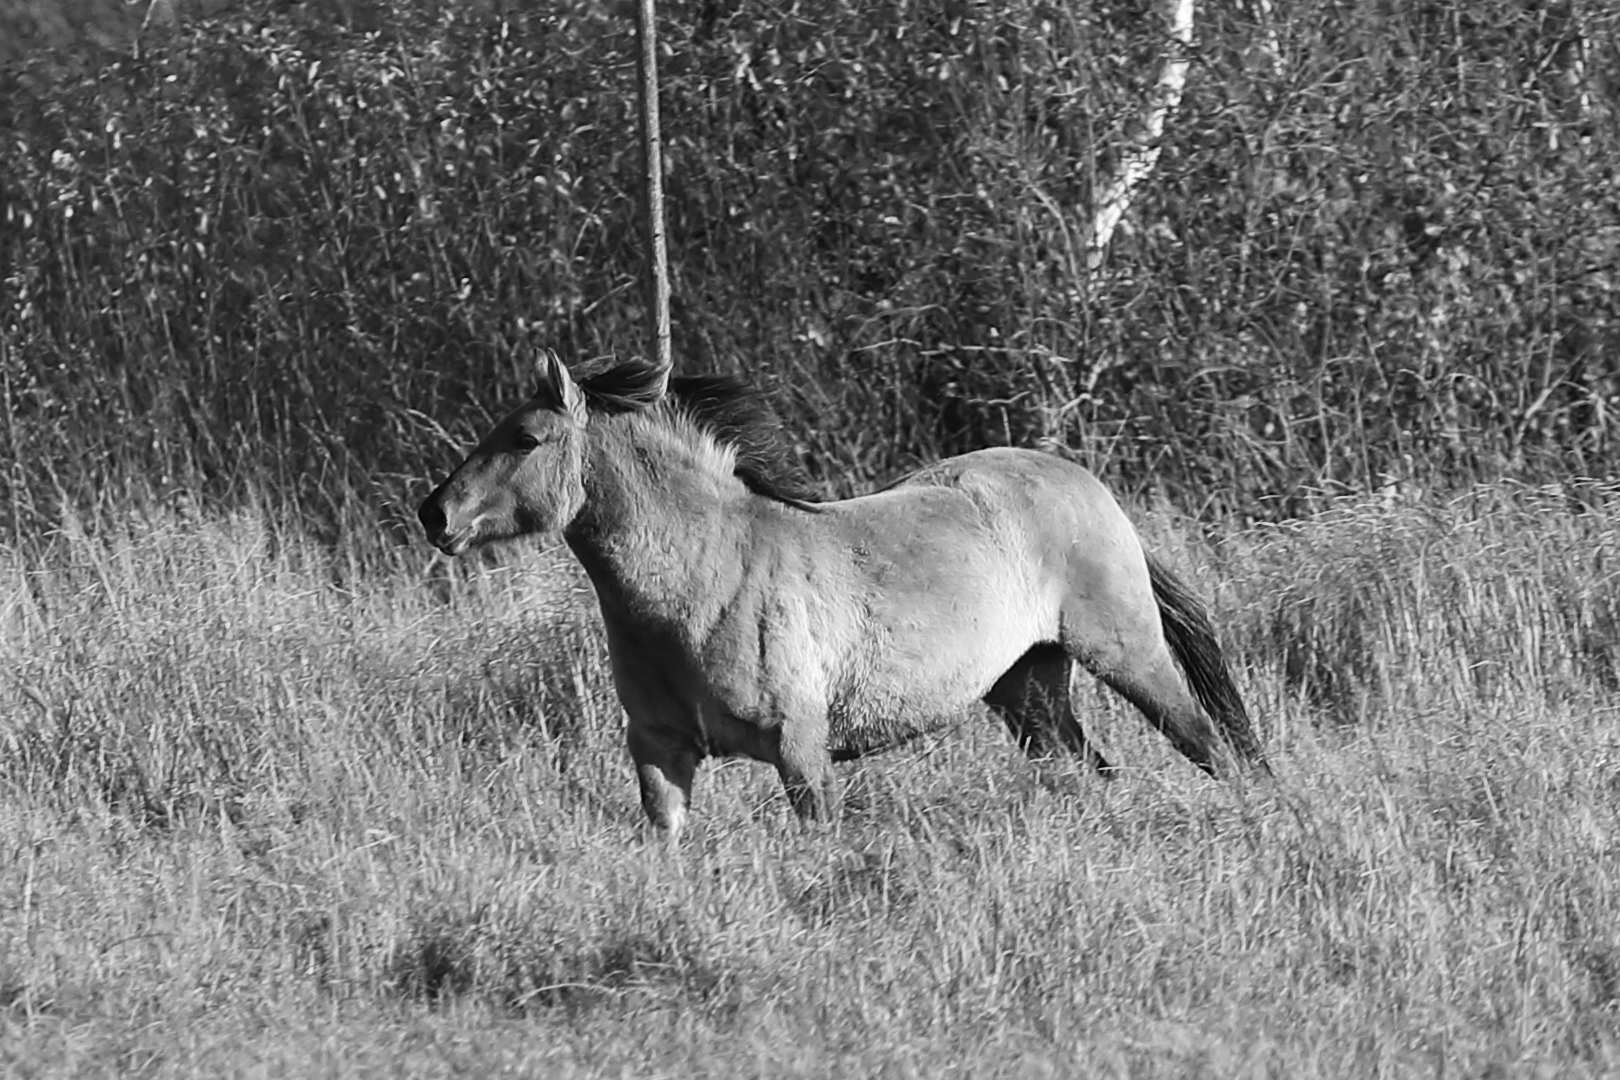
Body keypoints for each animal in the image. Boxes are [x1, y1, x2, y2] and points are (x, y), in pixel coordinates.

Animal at [414, 351, 1263, 841]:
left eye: (525, 438)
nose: (434, 514)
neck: (704, 582)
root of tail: (1088, 486)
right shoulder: (658, 750)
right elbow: (668, 841)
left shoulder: (801, 751)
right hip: (1028, 688)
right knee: (1091, 772)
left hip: (1127, 655)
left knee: (1213, 744)